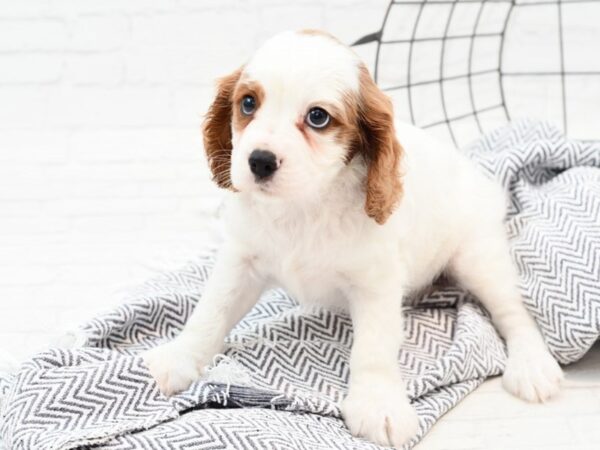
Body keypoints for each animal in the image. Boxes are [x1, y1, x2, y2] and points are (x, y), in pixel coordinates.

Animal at [145, 29, 564, 448]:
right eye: (248, 103)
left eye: (317, 117)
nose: (259, 161)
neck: (304, 205)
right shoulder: (242, 260)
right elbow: (210, 313)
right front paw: (177, 359)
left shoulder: (375, 283)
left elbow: (373, 349)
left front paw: (378, 403)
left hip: (477, 256)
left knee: (513, 311)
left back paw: (531, 364)